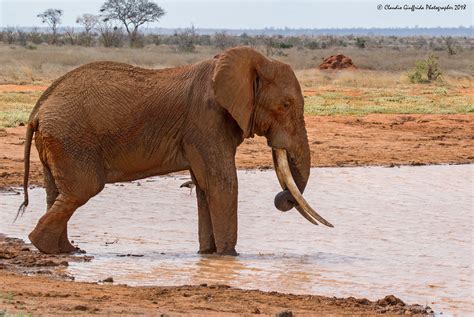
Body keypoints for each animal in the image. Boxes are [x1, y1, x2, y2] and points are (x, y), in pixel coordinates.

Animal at [17, 46, 330, 254]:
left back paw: (65, 251)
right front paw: (229, 257)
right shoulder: (206, 120)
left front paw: (208, 256)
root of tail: (39, 108)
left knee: (58, 193)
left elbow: (204, 186)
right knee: (83, 189)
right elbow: (222, 184)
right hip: (71, 138)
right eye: (286, 105)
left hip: (58, 140)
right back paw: (48, 247)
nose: (282, 198)